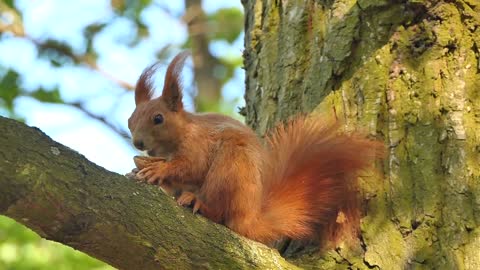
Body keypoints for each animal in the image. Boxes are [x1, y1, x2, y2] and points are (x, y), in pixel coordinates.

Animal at [127, 51, 382, 246]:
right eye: (130, 121)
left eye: (158, 118)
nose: (138, 143)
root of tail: (251, 218)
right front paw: (140, 170)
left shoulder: (198, 143)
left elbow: (192, 166)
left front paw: (159, 170)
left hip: (231, 168)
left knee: (219, 211)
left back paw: (198, 202)